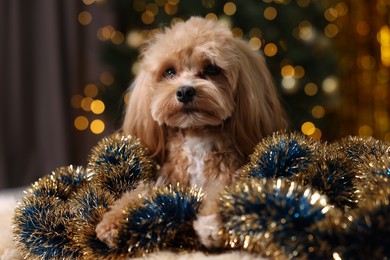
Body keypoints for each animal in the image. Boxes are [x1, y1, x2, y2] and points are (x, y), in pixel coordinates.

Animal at [96, 17, 288, 249]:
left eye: (212, 69)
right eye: (169, 72)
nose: (185, 91)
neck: (197, 135)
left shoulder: (231, 175)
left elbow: (223, 191)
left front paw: (210, 223)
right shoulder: (168, 182)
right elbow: (139, 191)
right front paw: (114, 219)